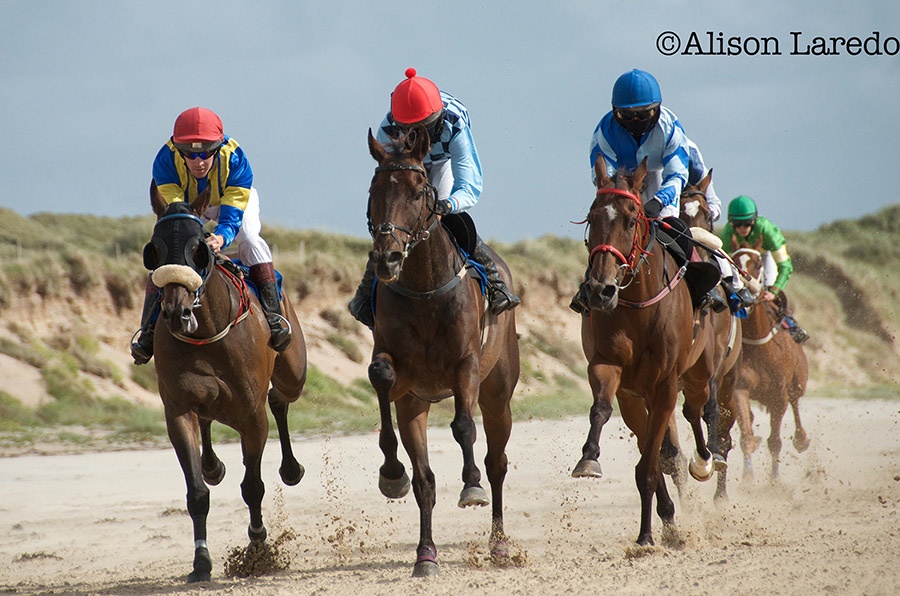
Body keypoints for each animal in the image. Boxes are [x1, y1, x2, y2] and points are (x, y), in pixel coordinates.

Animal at [142, 183, 308, 584]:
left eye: (199, 246)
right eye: (154, 250)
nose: (175, 312)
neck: (207, 332)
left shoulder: (252, 417)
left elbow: (253, 486)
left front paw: (258, 547)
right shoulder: (178, 411)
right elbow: (197, 493)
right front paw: (201, 562)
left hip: (294, 372)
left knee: (280, 398)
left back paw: (290, 468)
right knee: (210, 420)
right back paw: (213, 465)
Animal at [364, 127, 520, 576]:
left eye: (419, 192)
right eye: (374, 190)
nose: (386, 257)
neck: (424, 289)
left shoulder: (465, 365)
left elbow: (464, 426)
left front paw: (471, 486)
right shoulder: (402, 380)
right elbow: (382, 377)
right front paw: (392, 472)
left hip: (498, 394)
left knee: (497, 463)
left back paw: (498, 542)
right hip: (417, 404)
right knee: (426, 480)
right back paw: (426, 553)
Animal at [576, 156, 716, 548]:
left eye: (629, 218)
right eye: (592, 216)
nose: (601, 290)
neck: (638, 307)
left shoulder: (665, 384)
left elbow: (651, 465)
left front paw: (646, 535)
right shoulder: (615, 376)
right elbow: (603, 411)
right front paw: (589, 458)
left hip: (697, 374)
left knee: (695, 410)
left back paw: (703, 461)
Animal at [732, 244, 808, 482]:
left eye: (757, 264)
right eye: (734, 262)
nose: (743, 293)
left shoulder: (778, 395)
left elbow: (775, 441)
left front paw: (774, 482)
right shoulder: (740, 387)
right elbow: (746, 434)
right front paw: (747, 477)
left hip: (798, 381)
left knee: (796, 403)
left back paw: (801, 439)